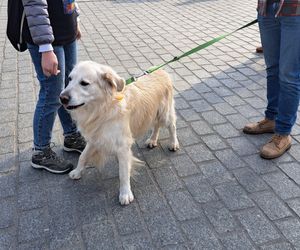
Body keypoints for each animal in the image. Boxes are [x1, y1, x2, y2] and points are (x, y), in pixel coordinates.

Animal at [59, 61, 179, 205]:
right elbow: (83, 156)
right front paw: (77, 172)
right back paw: (152, 140)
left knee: (172, 125)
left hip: (164, 113)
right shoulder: (95, 138)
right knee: (156, 126)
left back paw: (173, 143)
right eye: (69, 79)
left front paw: (125, 193)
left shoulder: (123, 146)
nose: (62, 98)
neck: (103, 109)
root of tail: (161, 70)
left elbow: (123, 173)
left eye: (84, 83)